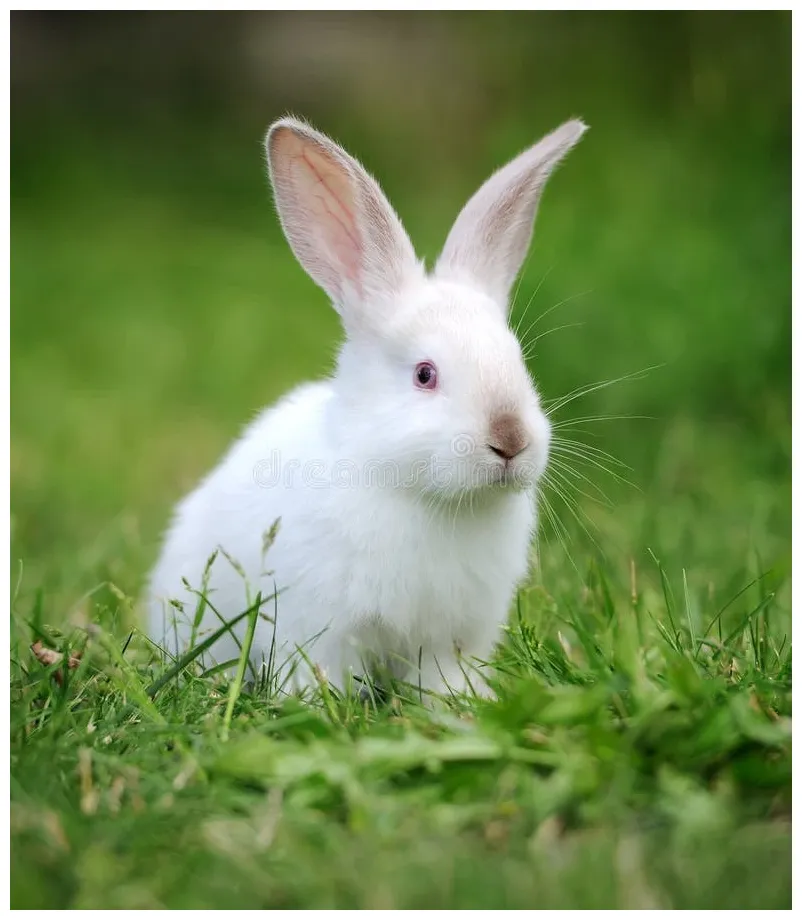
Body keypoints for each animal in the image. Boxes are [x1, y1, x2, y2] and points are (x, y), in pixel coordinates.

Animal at [147, 115, 587, 698]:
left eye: (518, 362)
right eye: (425, 374)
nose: (511, 440)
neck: (421, 494)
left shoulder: (452, 638)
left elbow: (443, 679)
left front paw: (459, 706)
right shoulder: (318, 626)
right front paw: (314, 704)